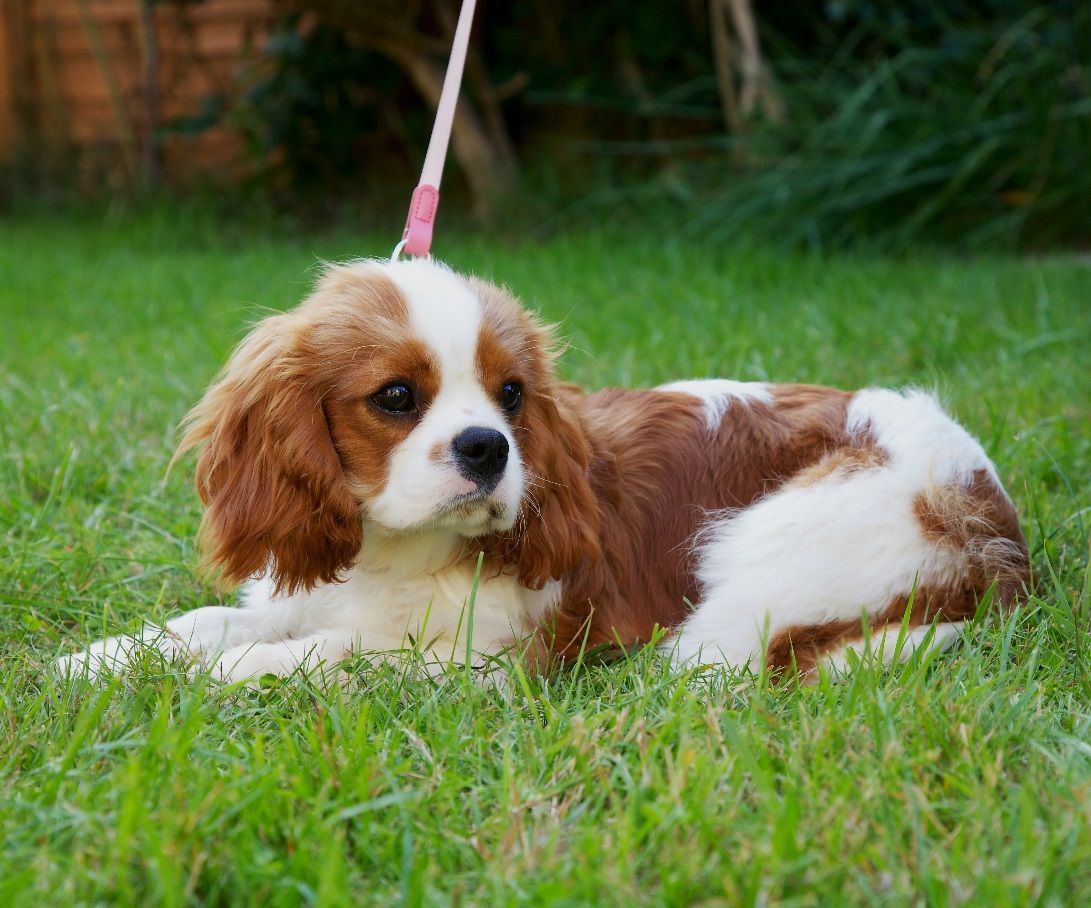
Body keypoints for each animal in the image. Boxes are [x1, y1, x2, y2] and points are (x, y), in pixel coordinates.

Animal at [57, 257, 1028, 682]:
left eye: (511, 394)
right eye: (396, 397)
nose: (487, 448)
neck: (389, 554)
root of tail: (986, 511)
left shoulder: (481, 658)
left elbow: (326, 651)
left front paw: (217, 677)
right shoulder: (306, 585)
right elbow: (210, 621)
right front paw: (99, 659)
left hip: (771, 554)